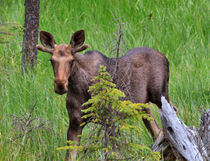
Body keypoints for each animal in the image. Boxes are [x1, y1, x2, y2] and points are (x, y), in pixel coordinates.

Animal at [37, 29, 176, 160]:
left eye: (72, 60)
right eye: (51, 60)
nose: (60, 85)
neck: (80, 88)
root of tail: (166, 58)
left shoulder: (110, 119)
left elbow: (115, 154)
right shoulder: (75, 122)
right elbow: (70, 155)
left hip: (160, 94)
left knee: (173, 115)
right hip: (144, 105)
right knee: (157, 131)